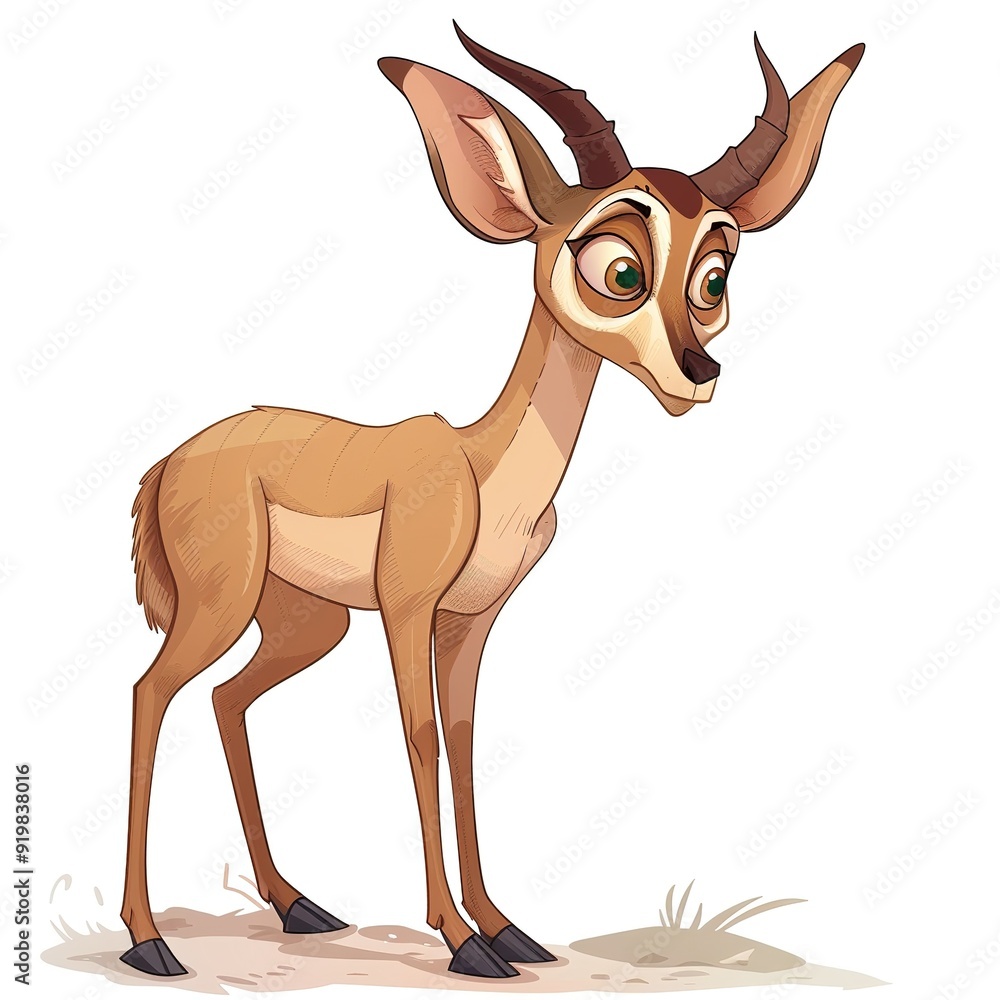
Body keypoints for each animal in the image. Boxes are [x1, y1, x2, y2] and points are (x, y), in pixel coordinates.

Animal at [120, 24, 863, 978]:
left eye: (715, 277)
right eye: (619, 267)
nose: (698, 372)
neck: (485, 472)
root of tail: (169, 462)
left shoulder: (469, 621)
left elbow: (467, 741)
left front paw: (507, 928)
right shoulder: (407, 610)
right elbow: (421, 738)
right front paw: (463, 940)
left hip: (306, 621)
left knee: (224, 698)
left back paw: (299, 907)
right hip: (224, 604)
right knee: (151, 692)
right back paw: (150, 943)